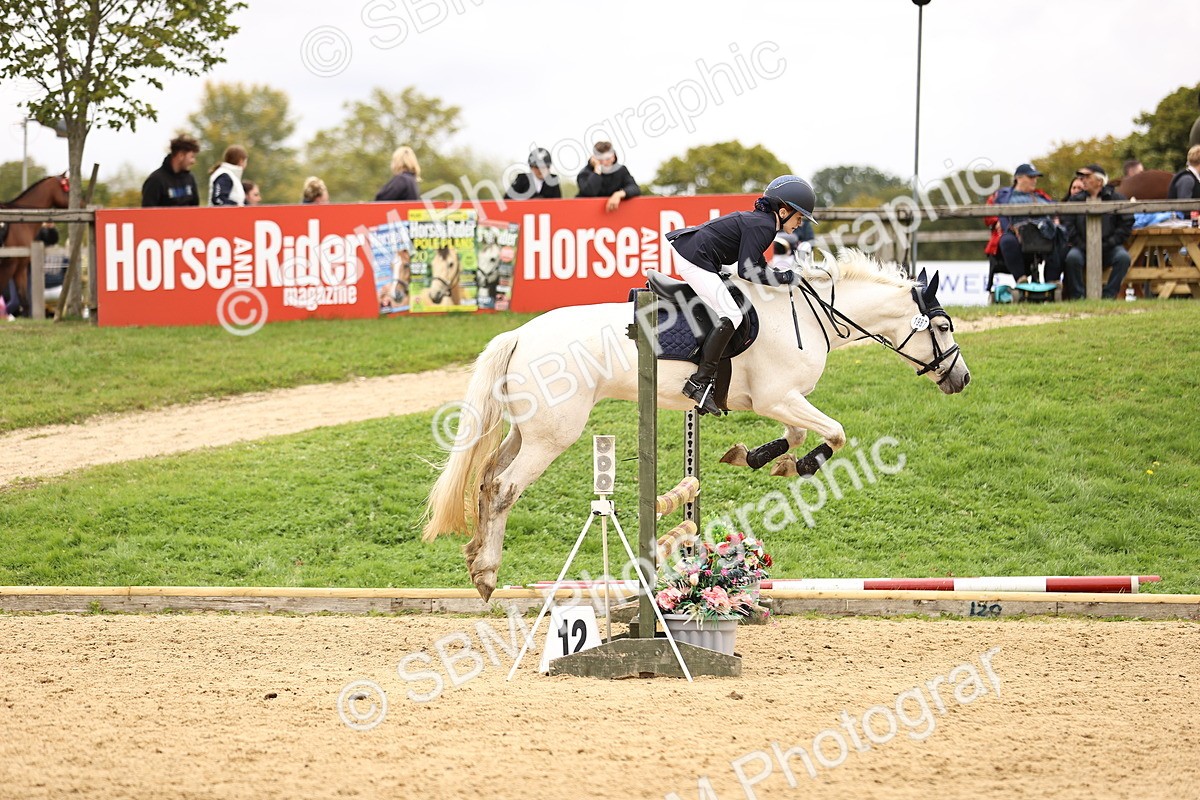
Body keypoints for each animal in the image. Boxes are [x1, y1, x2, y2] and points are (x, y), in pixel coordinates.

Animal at [0, 175, 70, 316]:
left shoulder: (20, 268)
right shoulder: (9, 266)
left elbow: (25, 302)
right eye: (66, 188)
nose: (82, 203)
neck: (21, 222)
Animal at [422, 249, 972, 600]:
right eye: (943, 326)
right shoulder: (779, 397)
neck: (811, 317)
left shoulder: (778, 402)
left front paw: (761, 458)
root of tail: (519, 333)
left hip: (527, 430)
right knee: (504, 489)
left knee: (487, 477)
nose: (961, 378)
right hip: (552, 435)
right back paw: (487, 573)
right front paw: (802, 464)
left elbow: (795, 435)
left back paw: (475, 558)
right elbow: (832, 433)